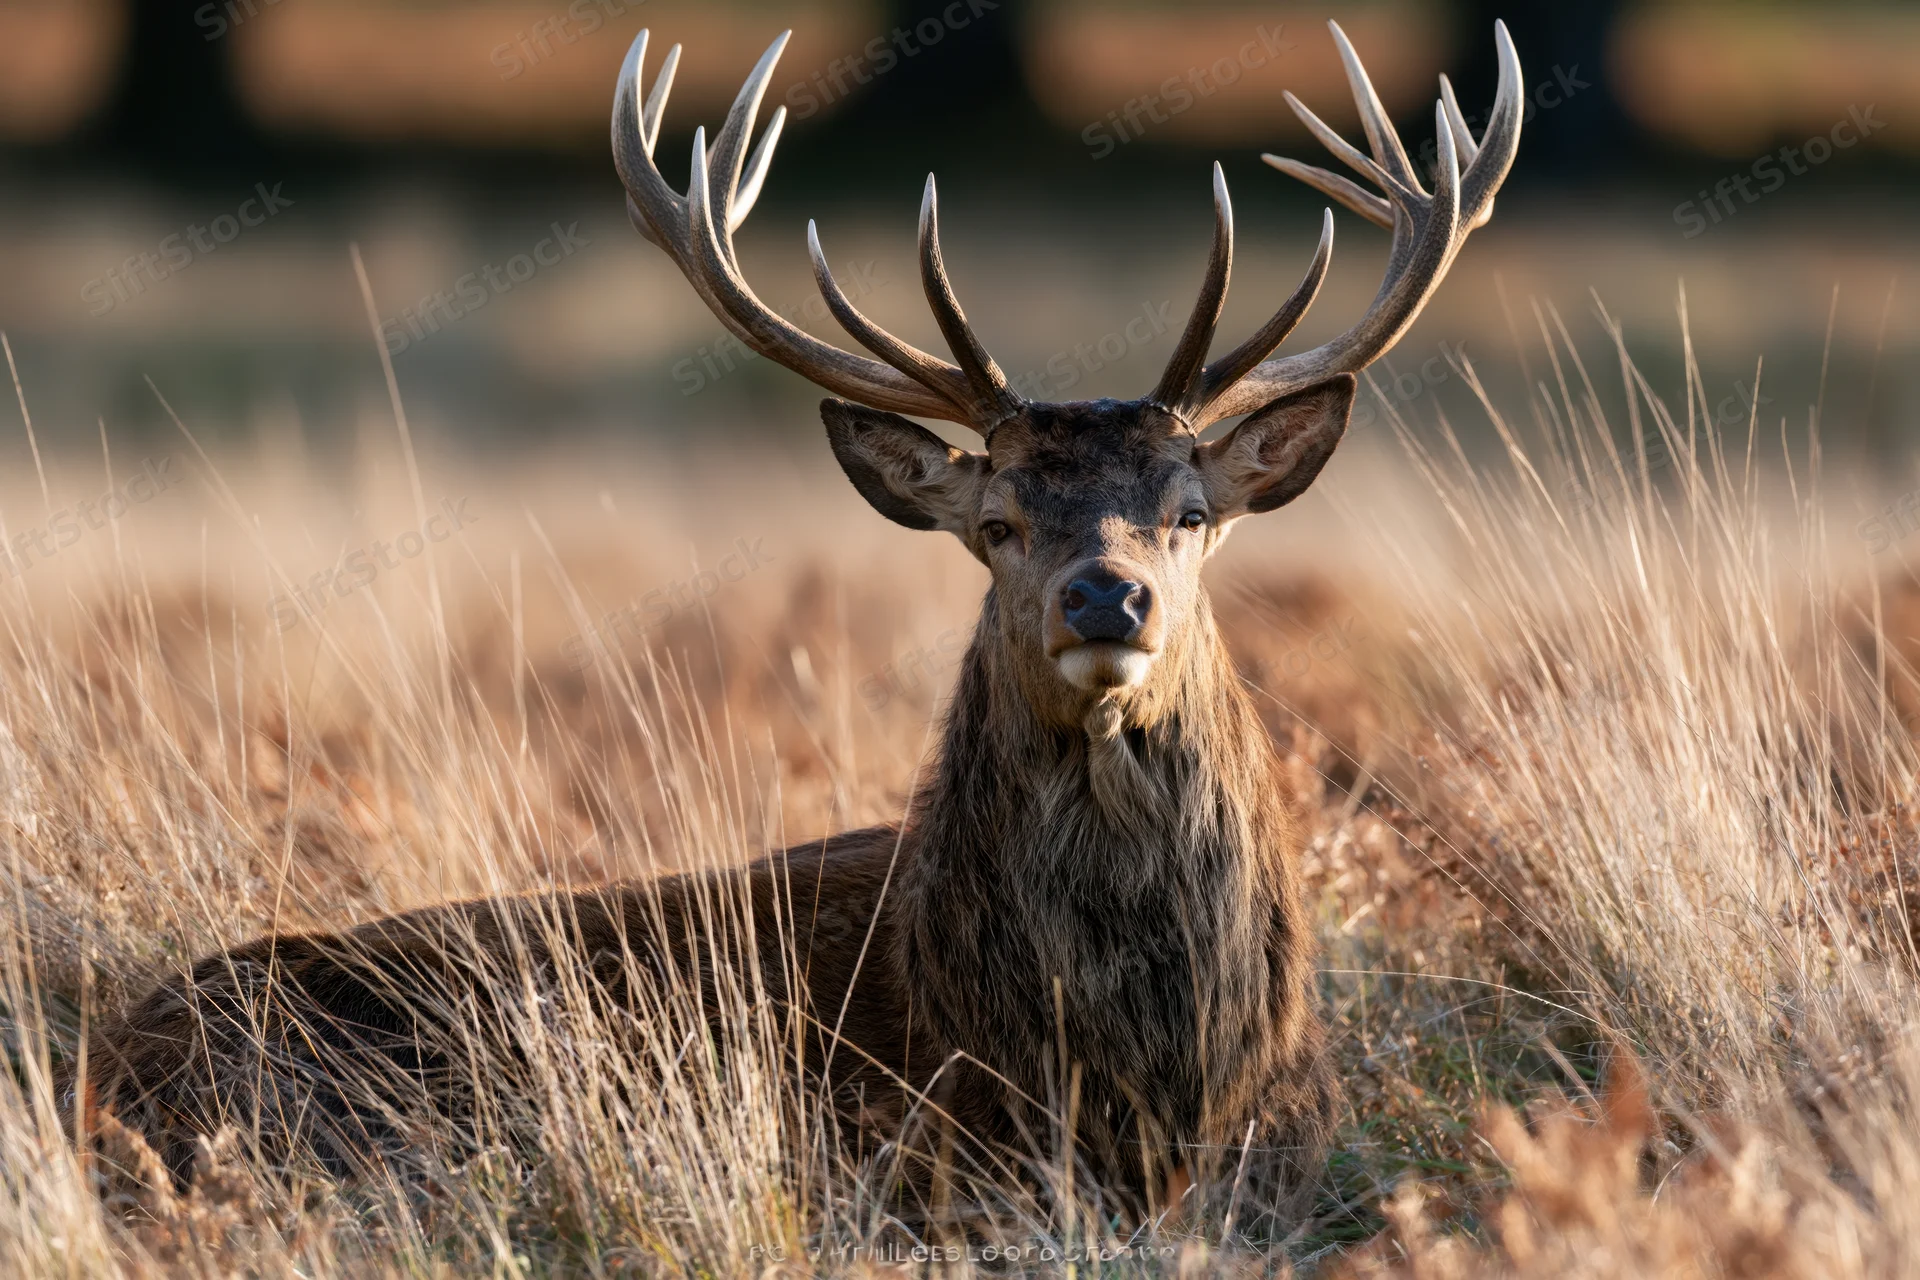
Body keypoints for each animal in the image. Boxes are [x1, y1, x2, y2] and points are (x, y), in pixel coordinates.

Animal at [77, 20, 1520, 1224]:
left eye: (1190, 511)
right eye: (997, 521)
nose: (1107, 594)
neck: (1148, 1078)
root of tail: (105, 1058)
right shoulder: (931, 1154)